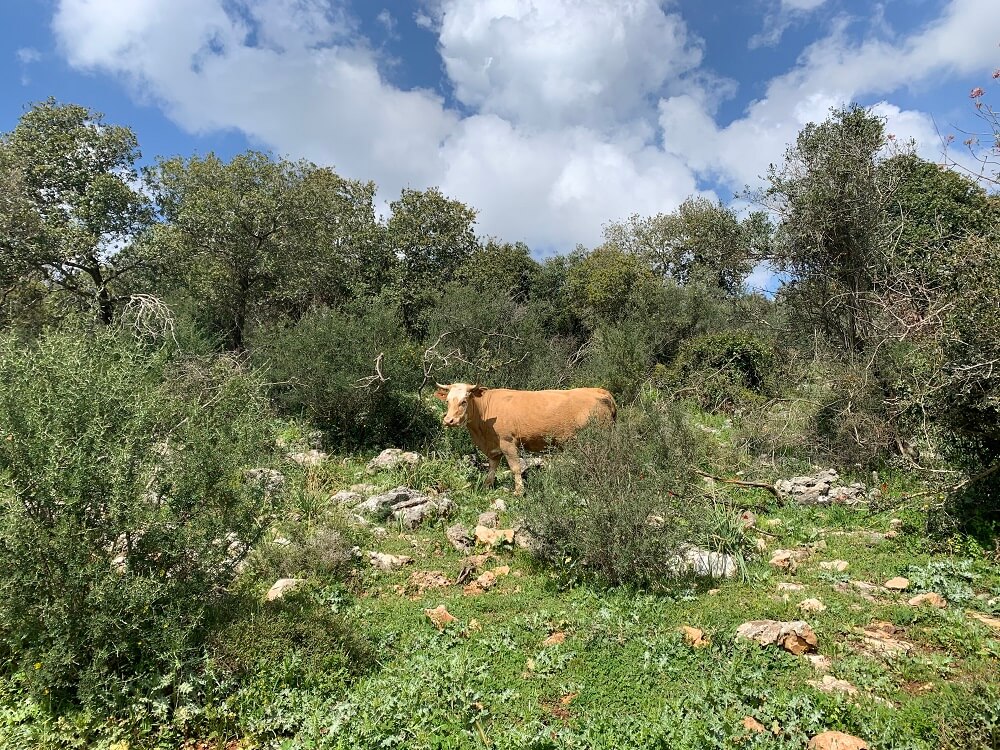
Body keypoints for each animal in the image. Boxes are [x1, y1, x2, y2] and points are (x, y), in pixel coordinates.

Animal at [432, 384, 612, 496]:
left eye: (464, 401)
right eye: (447, 401)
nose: (449, 420)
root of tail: (600, 391)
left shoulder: (508, 442)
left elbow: (515, 467)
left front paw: (519, 491)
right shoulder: (494, 447)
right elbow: (492, 468)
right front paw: (487, 486)